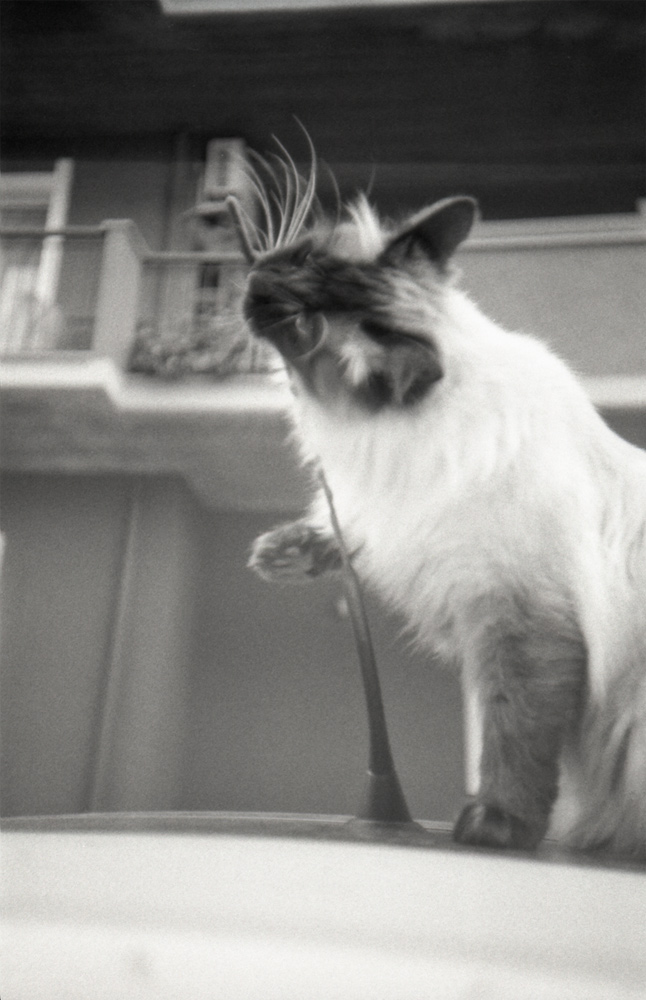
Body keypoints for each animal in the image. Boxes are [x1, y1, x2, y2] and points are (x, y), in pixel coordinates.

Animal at [238, 166, 646, 860]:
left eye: (299, 324)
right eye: (304, 258)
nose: (255, 283)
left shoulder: (518, 617)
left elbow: (513, 738)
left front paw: (497, 825)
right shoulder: (389, 520)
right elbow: (344, 532)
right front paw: (282, 555)